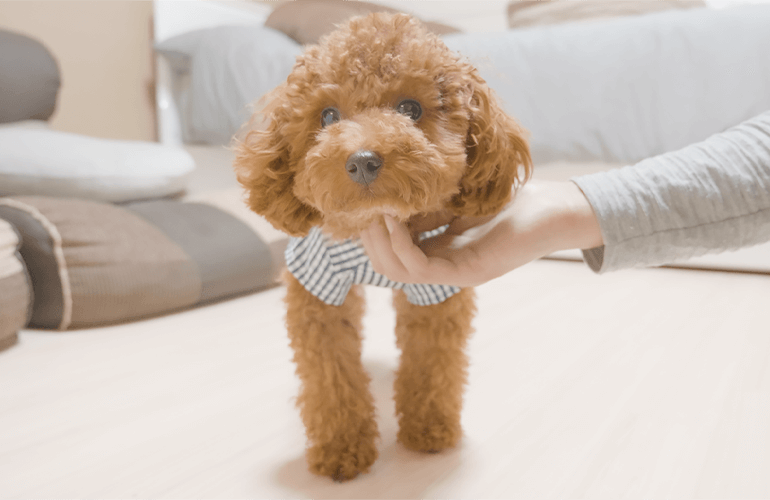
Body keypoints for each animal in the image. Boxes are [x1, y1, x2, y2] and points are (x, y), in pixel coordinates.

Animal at [234, 11, 532, 480]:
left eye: (410, 109)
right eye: (328, 115)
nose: (362, 161)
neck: (372, 225)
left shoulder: (432, 292)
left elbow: (431, 363)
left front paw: (429, 429)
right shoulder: (317, 288)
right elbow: (331, 374)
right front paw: (341, 448)